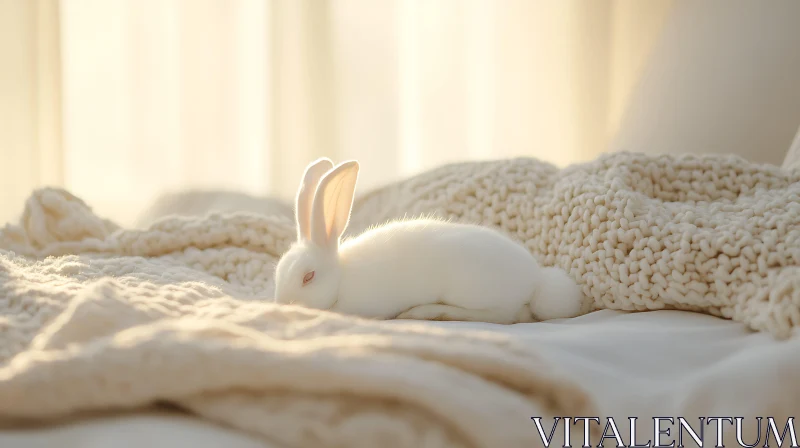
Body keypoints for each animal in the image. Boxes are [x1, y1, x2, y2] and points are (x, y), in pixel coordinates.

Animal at [272, 157, 584, 322]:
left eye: (308, 277)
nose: (282, 305)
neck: (341, 278)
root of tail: (536, 280)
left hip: (469, 291)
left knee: (503, 316)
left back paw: (426, 312)